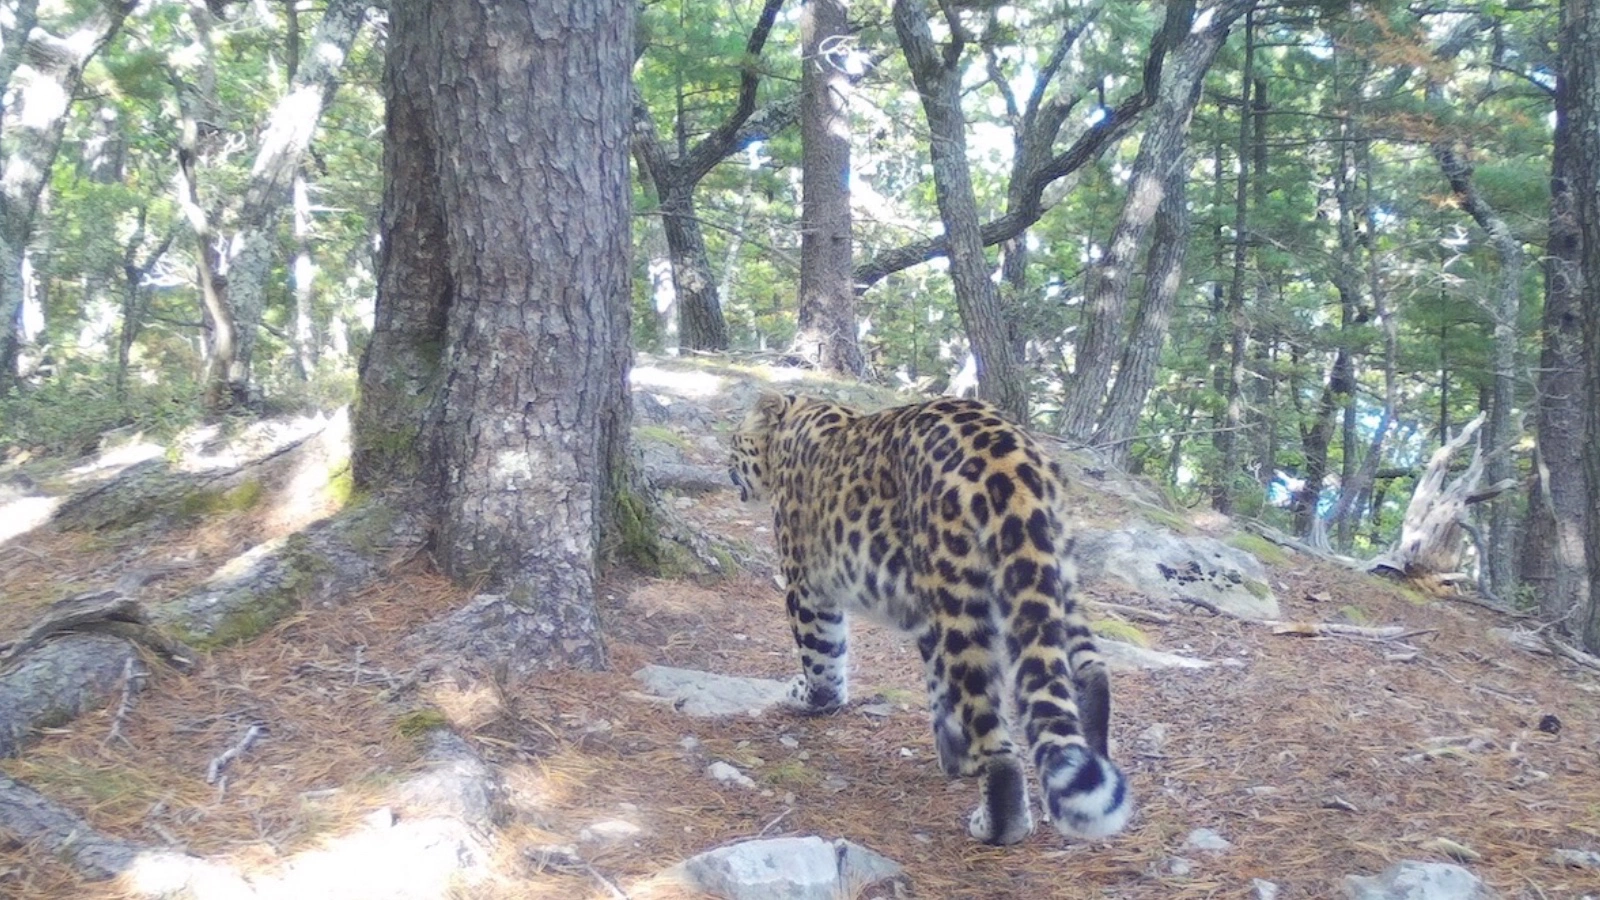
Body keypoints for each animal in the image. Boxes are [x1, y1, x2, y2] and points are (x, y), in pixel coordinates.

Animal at [732, 390, 1132, 839]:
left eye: (734, 440)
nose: (727, 465)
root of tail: (1011, 458)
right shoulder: (923, 613)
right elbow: (937, 686)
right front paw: (955, 755)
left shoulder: (806, 586)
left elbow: (822, 658)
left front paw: (808, 697)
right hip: (1049, 572)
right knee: (1087, 668)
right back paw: (1091, 759)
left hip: (958, 597)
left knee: (994, 731)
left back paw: (997, 824)